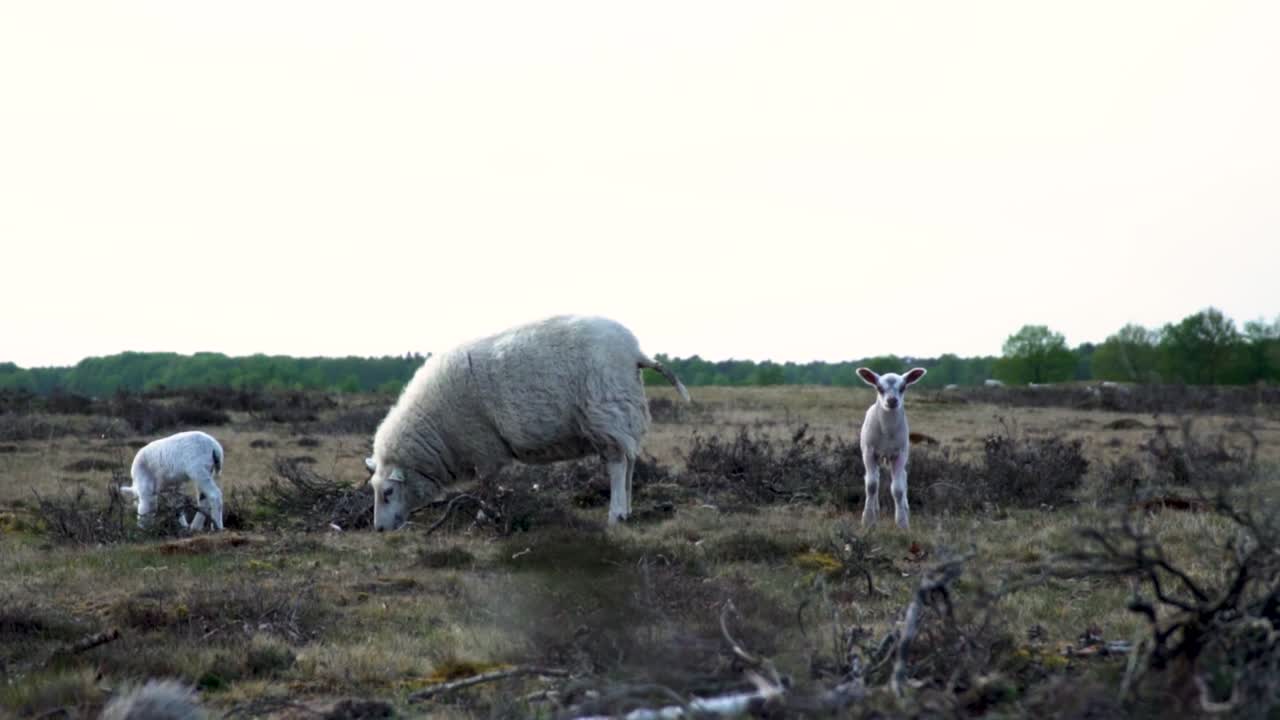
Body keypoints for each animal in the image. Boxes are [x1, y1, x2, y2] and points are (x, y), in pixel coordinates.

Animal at [364, 315, 690, 531]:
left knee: (618, 463)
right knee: (631, 460)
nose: (378, 529)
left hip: (605, 410)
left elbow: (486, 483)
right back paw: (629, 509)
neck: (436, 431)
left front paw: (485, 515)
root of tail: (636, 353)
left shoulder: (483, 445)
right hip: (623, 413)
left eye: (388, 492)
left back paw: (616, 513)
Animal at [857, 367, 927, 529]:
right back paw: (875, 509)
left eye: (903, 387)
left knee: (904, 477)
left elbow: (898, 489)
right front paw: (868, 519)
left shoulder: (900, 454)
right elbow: (871, 485)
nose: (892, 401)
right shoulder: (869, 452)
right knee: (873, 478)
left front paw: (902, 523)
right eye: (879, 388)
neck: (887, 432)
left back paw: (905, 508)